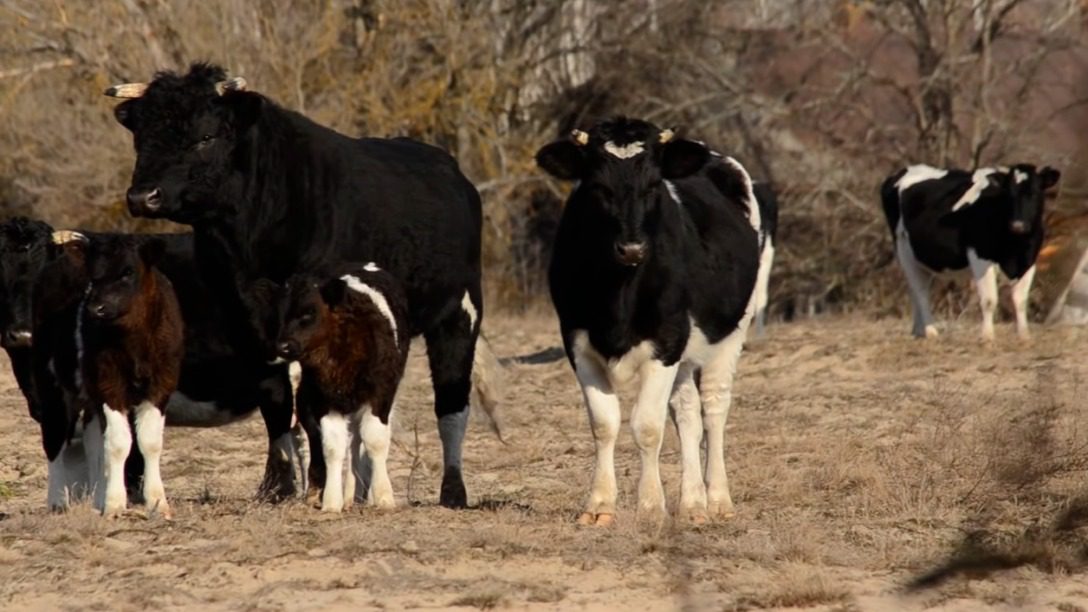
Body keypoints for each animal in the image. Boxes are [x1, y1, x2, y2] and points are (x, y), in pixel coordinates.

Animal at [75, 233, 183, 513]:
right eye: (93, 274)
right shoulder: (109, 384)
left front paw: (157, 500)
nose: (96, 308)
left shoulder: (161, 384)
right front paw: (113, 502)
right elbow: (117, 443)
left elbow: (150, 441)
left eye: (128, 271)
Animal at [272, 262, 409, 509]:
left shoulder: (380, 395)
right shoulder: (324, 400)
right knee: (349, 442)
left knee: (359, 440)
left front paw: (384, 497)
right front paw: (331, 502)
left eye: (309, 312)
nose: (283, 346)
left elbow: (375, 440)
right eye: (281, 316)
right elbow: (332, 446)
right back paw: (348, 496)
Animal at [537, 116, 761, 522]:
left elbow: (647, 426)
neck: (619, 294)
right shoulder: (576, 340)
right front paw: (600, 504)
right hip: (687, 354)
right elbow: (604, 423)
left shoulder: (667, 341)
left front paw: (651, 505)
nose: (631, 248)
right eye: (598, 186)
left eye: (654, 184)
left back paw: (718, 498)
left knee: (714, 408)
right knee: (687, 414)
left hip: (732, 331)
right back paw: (692, 503)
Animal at [879, 162, 1057, 337]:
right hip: (903, 251)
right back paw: (931, 332)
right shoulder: (980, 258)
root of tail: (905, 170)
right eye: (1008, 195)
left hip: (920, 259)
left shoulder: (1029, 260)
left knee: (916, 290)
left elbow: (1020, 300)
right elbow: (989, 300)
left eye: (1034, 193)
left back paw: (918, 330)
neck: (1016, 248)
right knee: (921, 291)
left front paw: (1024, 335)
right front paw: (987, 336)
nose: (1018, 225)